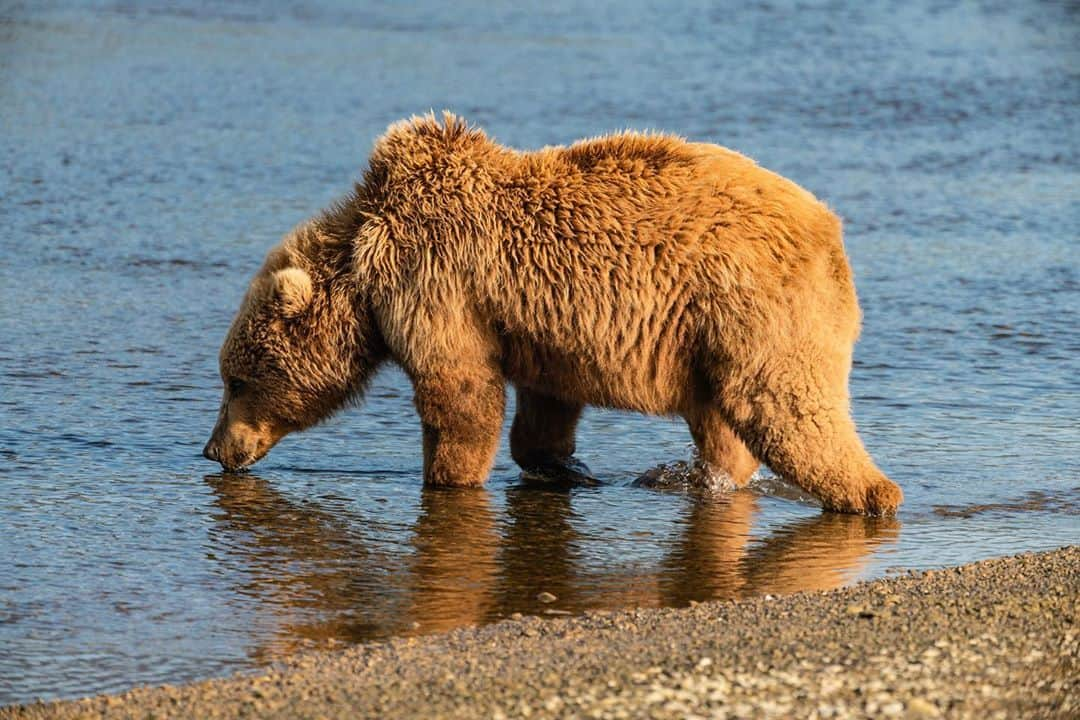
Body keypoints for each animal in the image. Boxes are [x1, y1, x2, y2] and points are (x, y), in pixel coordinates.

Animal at [203, 112, 902, 515]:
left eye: (236, 380)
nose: (214, 451)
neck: (365, 266)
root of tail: (829, 229)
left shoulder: (436, 282)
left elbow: (461, 392)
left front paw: (447, 477)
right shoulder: (538, 324)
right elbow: (545, 405)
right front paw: (565, 466)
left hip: (750, 307)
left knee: (786, 405)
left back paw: (871, 494)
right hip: (708, 335)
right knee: (722, 419)